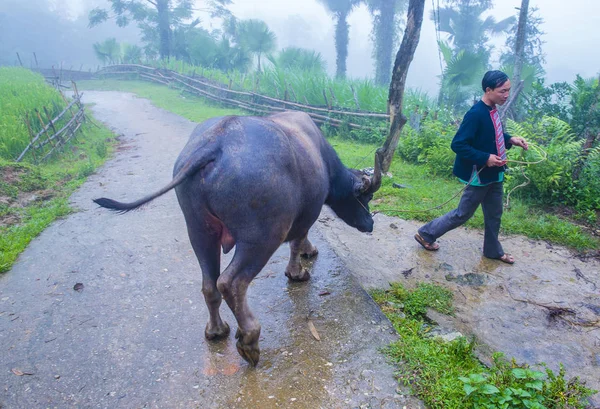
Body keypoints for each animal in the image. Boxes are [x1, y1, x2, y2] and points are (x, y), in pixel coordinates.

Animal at [96, 110, 382, 364]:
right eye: (367, 196)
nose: (370, 224)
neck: (320, 155)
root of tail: (214, 143)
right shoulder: (307, 213)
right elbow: (298, 240)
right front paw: (298, 271)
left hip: (199, 229)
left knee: (209, 284)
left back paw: (216, 330)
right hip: (262, 237)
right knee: (231, 283)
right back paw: (249, 339)